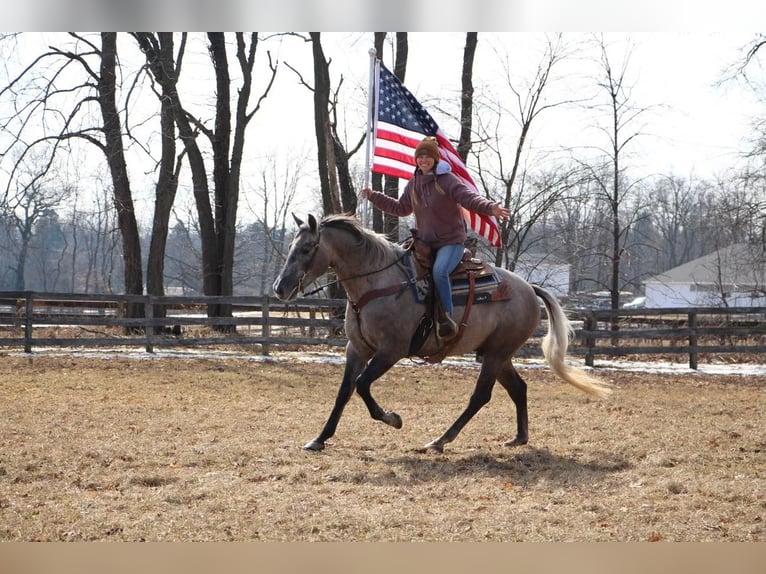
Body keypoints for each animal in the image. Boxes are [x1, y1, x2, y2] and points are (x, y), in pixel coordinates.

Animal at [272, 213, 616, 454]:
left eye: (307, 248)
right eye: (290, 247)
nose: (280, 287)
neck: (379, 283)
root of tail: (529, 289)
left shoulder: (391, 351)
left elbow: (362, 385)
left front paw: (393, 419)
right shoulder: (356, 349)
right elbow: (344, 391)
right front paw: (320, 438)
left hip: (496, 355)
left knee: (481, 396)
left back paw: (440, 440)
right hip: (497, 354)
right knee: (518, 389)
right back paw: (518, 438)